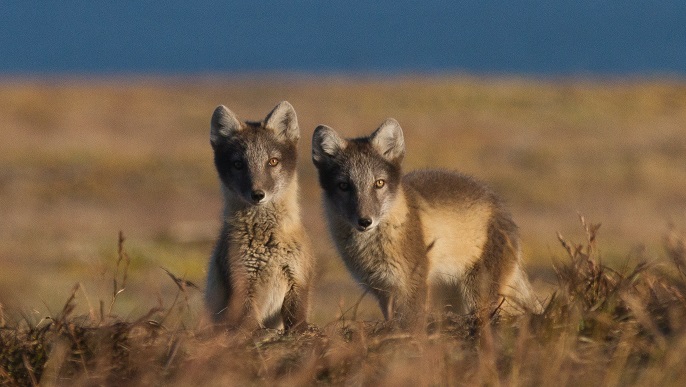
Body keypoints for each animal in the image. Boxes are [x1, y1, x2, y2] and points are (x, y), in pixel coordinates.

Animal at [203, 101, 314, 332]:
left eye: (272, 161)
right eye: (238, 164)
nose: (257, 194)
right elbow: (247, 324)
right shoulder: (242, 284)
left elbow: (297, 321)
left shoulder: (298, 280)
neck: (267, 242)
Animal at [314, 118, 544, 328]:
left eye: (379, 183)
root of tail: (503, 209)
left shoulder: (412, 283)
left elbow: (412, 321)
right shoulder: (381, 290)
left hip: (478, 292)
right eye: (344, 186)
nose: (364, 221)